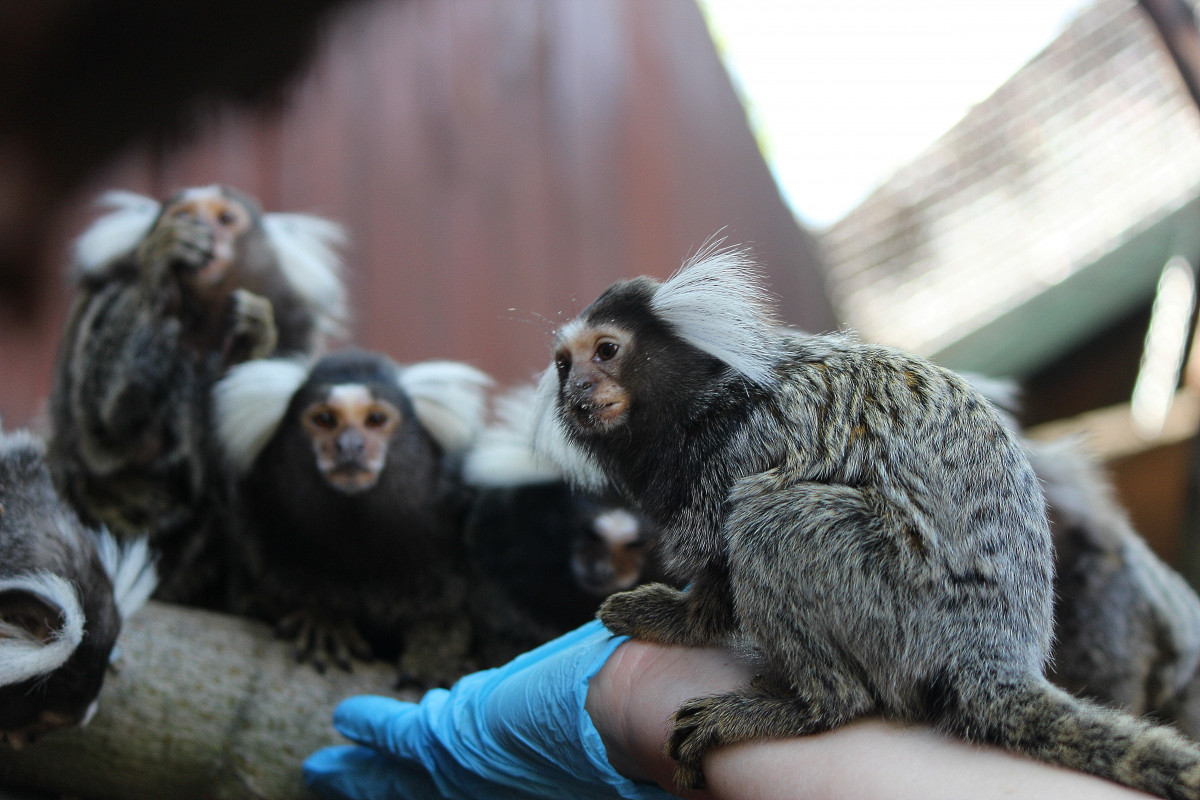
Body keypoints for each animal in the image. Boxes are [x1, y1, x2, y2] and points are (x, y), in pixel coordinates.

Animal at [48, 184, 348, 604]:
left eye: (225, 219)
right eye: (185, 215)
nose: (202, 227)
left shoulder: (296, 342)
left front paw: (253, 338)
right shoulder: (106, 302)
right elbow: (108, 421)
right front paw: (162, 276)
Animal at [216, 347, 492, 686]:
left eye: (376, 419)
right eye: (324, 419)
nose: (349, 445)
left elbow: (451, 609)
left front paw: (434, 656)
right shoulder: (251, 518)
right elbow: (259, 595)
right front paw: (323, 618)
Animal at [535, 245, 1200, 800]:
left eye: (607, 351)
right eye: (565, 366)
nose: (579, 390)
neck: (706, 402)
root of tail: (995, 646)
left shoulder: (739, 447)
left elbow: (726, 549)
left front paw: (680, 620)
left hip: (900, 600)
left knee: (771, 519)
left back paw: (807, 708)